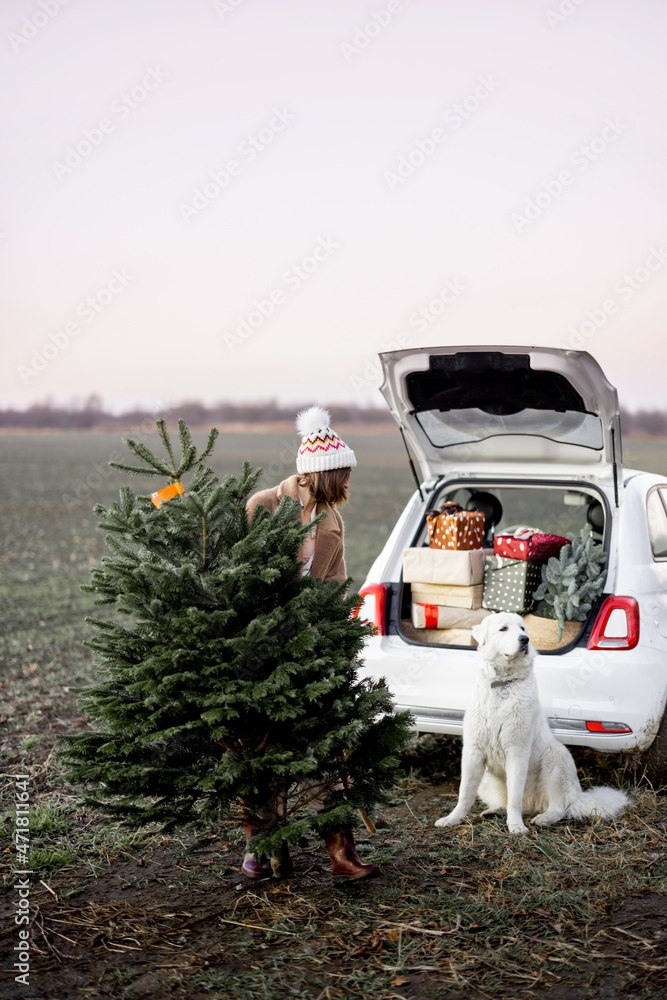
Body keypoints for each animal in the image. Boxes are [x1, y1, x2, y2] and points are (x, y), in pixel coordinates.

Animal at [436, 608, 628, 836]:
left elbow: (515, 798)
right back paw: (495, 810)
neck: (502, 683)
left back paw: (543, 818)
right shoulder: (473, 751)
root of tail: (578, 795)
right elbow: (464, 793)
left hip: (556, 757)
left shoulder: (517, 751)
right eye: (503, 628)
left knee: (559, 807)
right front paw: (452, 819)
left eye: (522, 629)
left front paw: (516, 826)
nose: (524, 640)